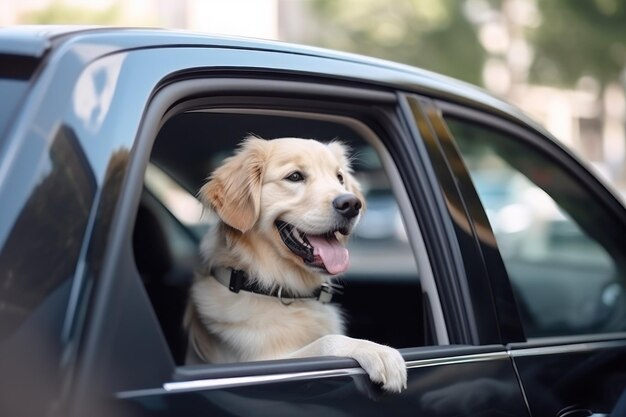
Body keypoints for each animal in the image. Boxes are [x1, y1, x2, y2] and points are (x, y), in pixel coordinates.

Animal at [185, 137, 408, 394]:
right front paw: (377, 350)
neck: (276, 288)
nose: (352, 203)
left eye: (339, 178)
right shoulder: (261, 361)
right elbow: (325, 342)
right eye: (294, 176)